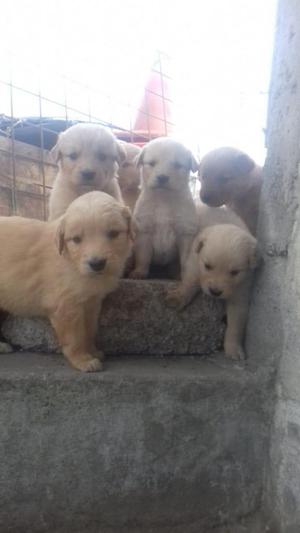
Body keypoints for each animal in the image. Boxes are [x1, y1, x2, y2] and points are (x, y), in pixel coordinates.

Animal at [0, 190, 134, 370]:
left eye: (113, 233)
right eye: (76, 239)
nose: (97, 264)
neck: (72, 263)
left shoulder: (91, 303)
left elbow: (89, 330)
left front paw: (92, 351)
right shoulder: (66, 306)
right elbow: (75, 337)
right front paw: (82, 360)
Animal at [129, 136, 199, 278]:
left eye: (177, 165)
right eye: (152, 163)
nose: (162, 177)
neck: (164, 199)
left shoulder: (185, 233)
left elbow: (185, 259)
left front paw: (185, 276)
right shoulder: (144, 232)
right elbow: (143, 256)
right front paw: (139, 272)